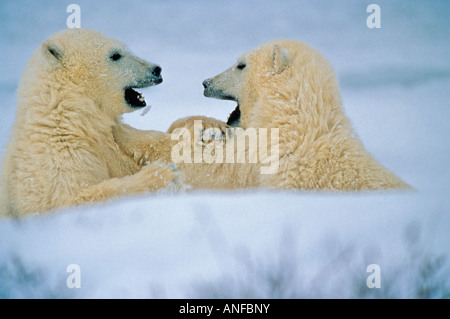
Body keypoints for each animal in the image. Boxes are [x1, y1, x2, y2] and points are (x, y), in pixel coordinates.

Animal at [1, 28, 182, 218]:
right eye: (115, 55)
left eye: (125, 48)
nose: (156, 69)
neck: (72, 117)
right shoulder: (55, 156)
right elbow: (68, 199)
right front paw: (163, 175)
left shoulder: (109, 142)